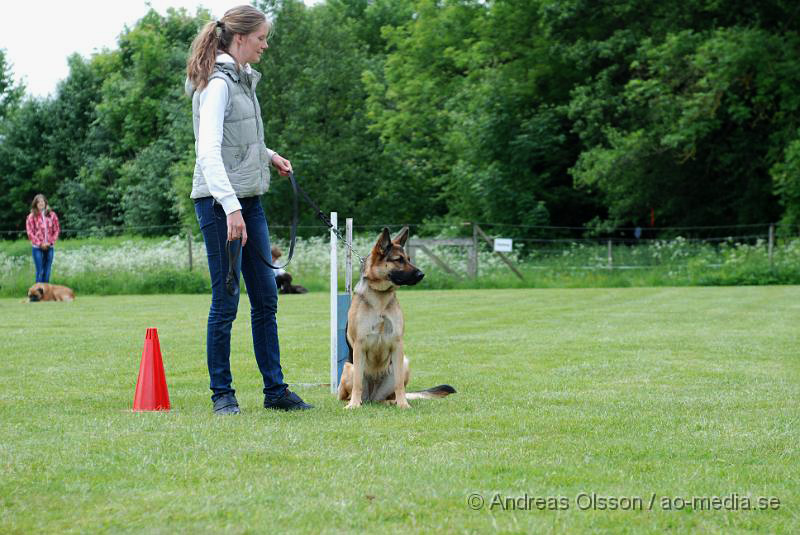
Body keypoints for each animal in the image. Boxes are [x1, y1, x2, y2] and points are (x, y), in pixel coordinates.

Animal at [334, 227, 454, 410]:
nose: (422, 274)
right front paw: (353, 405)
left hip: (404, 363)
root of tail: (371, 398)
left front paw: (403, 404)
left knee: (389, 394)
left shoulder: (397, 344)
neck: (380, 299)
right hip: (349, 367)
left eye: (409, 259)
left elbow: (399, 385)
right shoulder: (359, 346)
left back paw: (393, 401)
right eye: (398, 260)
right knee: (349, 391)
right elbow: (358, 384)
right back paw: (354, 401)